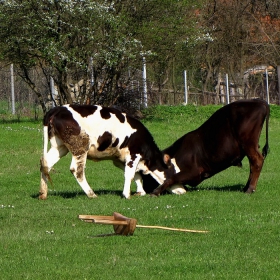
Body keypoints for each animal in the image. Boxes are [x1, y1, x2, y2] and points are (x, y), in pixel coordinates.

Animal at [38, 103, 185, 199]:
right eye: (175, 173)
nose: (184, 191)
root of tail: (57, 109)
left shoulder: (119, 159)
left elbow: (136, 174)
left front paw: (140, 192)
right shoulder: (134, 155)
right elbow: (130, 174)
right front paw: (127, 195)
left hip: (59, 147)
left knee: (46, 164)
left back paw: (43, 194)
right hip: (80, 147)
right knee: (76, 170)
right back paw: (91, 194)